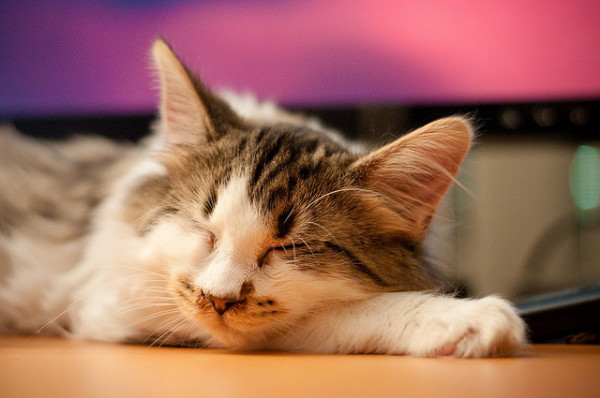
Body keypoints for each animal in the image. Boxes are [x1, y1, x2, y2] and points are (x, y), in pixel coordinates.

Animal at [0, 39, 524, 358]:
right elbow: (336, 314)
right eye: (204, 231)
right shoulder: (117, 301)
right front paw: (463, 317)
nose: (218, 299)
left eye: (290, 248)